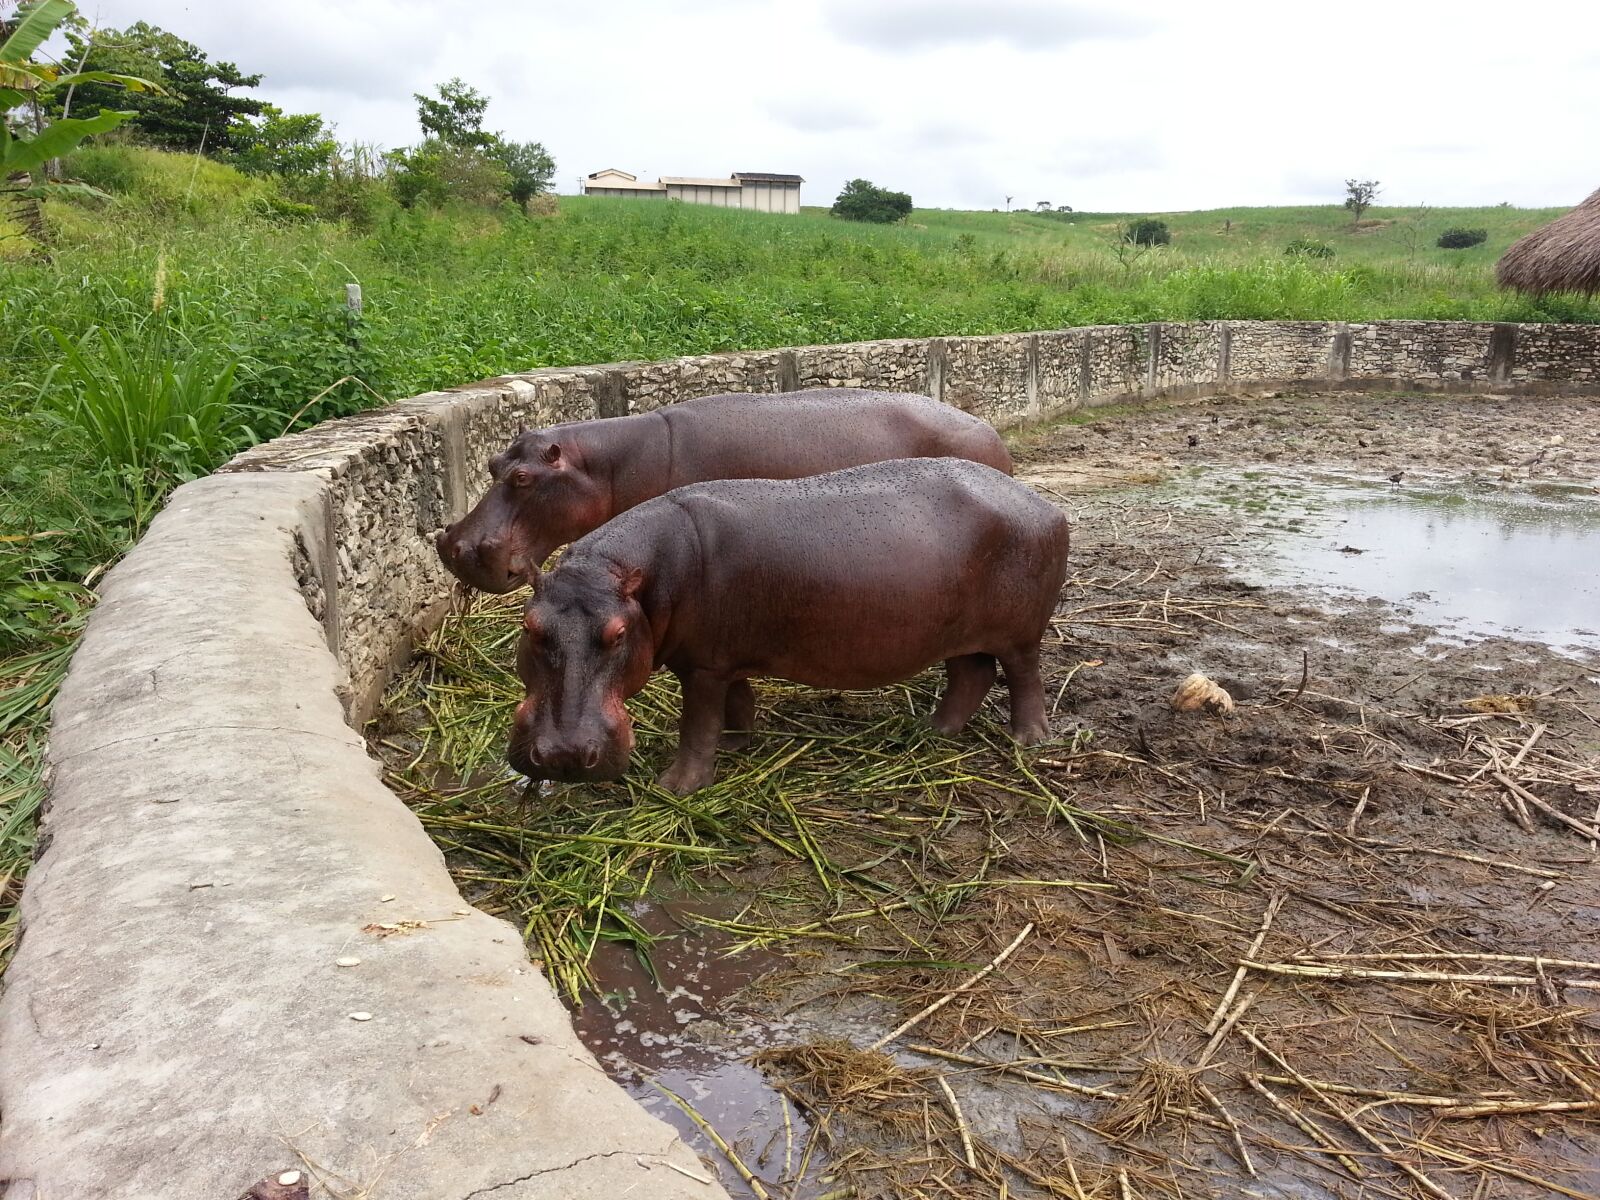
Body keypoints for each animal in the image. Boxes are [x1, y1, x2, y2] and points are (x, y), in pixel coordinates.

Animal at [507, 458, 1070, 795]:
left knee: (1025, 678)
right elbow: (736, 705)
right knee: (971, 676)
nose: (562, 755)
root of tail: (1041, 501)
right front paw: (737, 746)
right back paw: (932, 731)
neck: (627, 576)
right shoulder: (719, 659)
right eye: (530, 628)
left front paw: (677, 787)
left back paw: (1027, 741)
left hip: (1021, 633)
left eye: (618, 635)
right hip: (956, 633)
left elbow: (697, 724)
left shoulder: (704, 667)